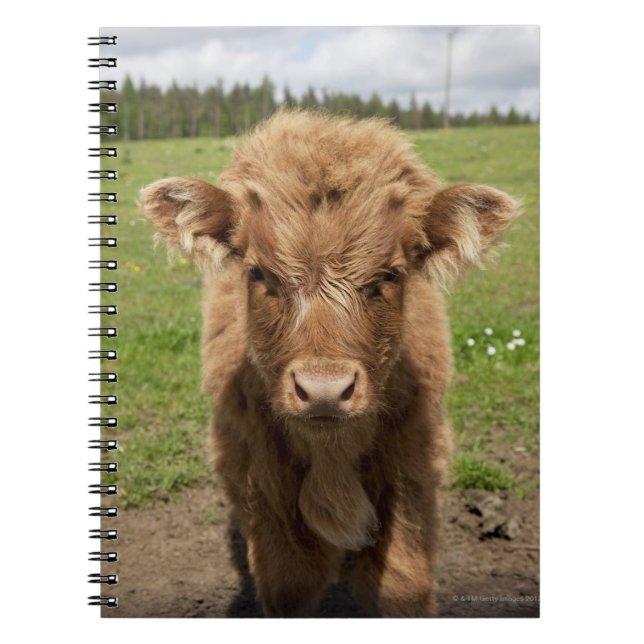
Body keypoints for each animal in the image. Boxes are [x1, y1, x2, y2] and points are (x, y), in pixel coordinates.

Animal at [140, 109, 517, 617]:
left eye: (390, 274)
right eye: (259, 273)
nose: (324, 391)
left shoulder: (413, 469)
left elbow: (402, 585)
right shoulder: (262, 483)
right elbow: (289, 585)